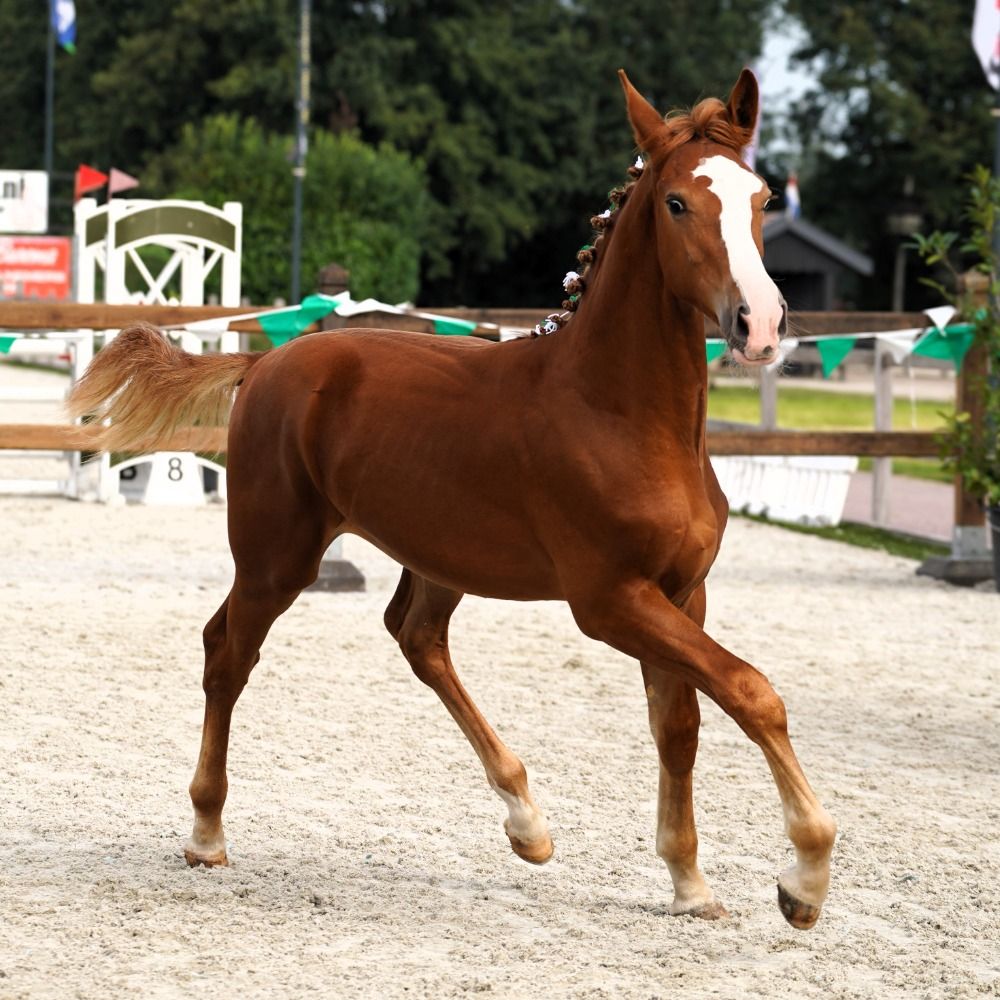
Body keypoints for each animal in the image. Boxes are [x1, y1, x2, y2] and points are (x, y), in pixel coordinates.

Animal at [68, 69, 836, 930]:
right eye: (677, 203)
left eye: (761, 197)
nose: (760, 323)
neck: (625, 416)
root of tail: (265, 364)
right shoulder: (609, 601)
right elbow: (751, 691)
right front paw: (804, 878)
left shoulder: (682, 592)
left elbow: (681, 725)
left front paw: (690, 884)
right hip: (277, 554)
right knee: (228, 650)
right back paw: (205, 833)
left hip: (438, 555)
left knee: (416, 637)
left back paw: (527, 823)